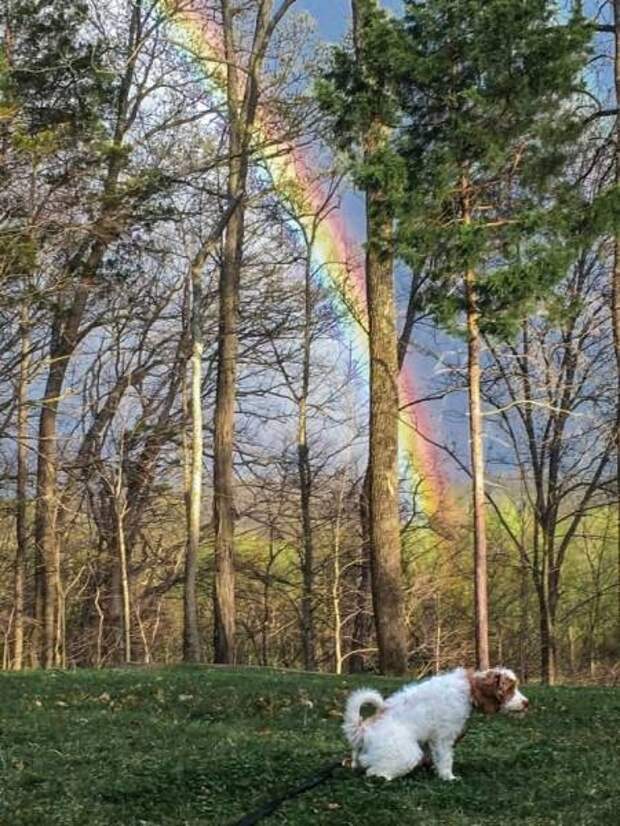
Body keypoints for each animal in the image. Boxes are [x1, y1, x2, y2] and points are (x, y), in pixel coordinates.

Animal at [344, 664, 528, 780]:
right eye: (509, 689)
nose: (526, 703)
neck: (469, 689)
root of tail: (363, 730)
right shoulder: (443, 737)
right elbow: (445, 759)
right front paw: (449, 777)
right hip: (407, 754)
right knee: (374, 772)